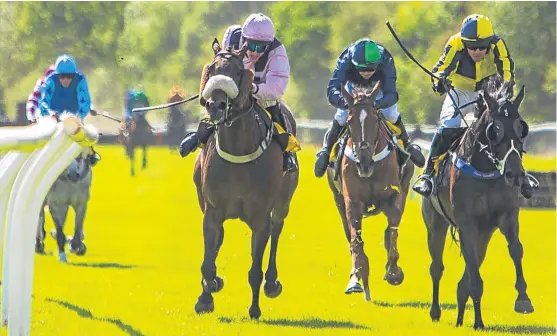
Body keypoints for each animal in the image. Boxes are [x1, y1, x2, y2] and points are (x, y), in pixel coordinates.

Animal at [191, 38, 298, 318]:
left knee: (277, 230)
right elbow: (208, 261)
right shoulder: (212, 211)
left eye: (239, 72)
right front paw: (207, 295)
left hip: (283, 203)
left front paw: (255, 309)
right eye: (212, 68)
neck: (238, 150)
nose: (215, 105)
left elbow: (255, 269)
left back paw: (272, 283)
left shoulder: (260, 218)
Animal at [326, 81, 412, 302]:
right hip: (337, 199)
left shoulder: (394, 195)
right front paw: (359, 280)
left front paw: (394, 272)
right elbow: (356, 241)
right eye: (349, 122)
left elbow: (393, 231)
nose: (363, 164)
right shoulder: (352, 202)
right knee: (349, 236)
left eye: (375, 119)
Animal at [422, 75, 536, 328]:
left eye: (521, 127)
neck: (484, 171)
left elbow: (516, 249)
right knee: (436, 268)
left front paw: (523, 299)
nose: (515, 174)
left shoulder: (506, 216)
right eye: (495, 129)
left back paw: (460, 317)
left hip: (485, 233)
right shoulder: (467, 223)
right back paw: (436, 312)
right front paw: (479, 322)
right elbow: (472, 273)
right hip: (436, 224)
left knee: (468, 269)